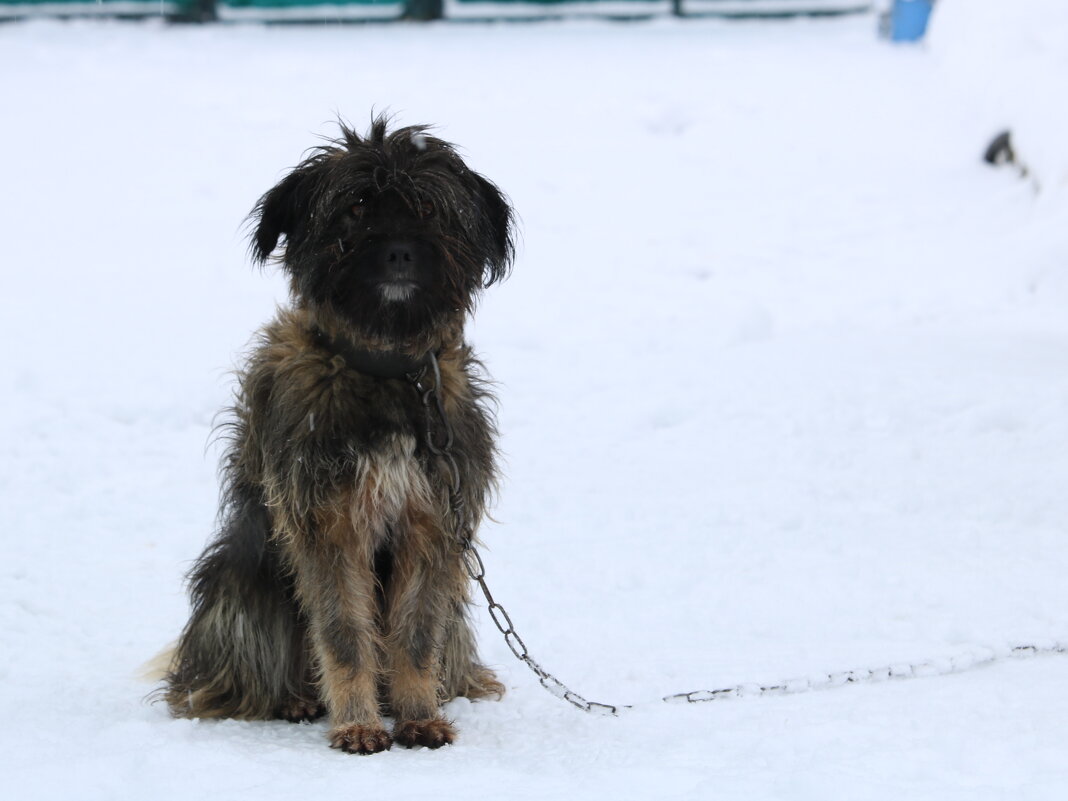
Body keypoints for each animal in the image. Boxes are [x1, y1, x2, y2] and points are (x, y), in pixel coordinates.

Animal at [163, 117, 516, 751]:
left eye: (429, 206)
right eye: (355, 207)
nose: (399, 252)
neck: (387, 372)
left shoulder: (432, 519)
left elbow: (416, 633)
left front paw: (418, 714)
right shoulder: (329, 520)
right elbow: (344, 630)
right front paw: (357, 724)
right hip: (248, 586)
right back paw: (297, 699)